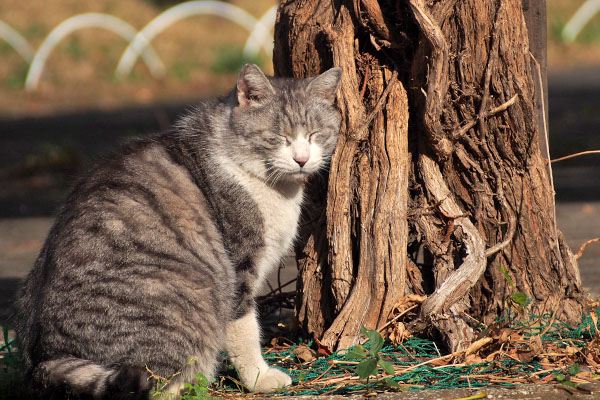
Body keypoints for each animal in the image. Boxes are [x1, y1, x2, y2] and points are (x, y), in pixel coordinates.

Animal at [15, 64, 342, 398]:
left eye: (315, 135)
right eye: (277, 137)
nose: (301, 159)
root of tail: (46, 359)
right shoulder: (239, 268)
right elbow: (245, 329)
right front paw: (259, 378)